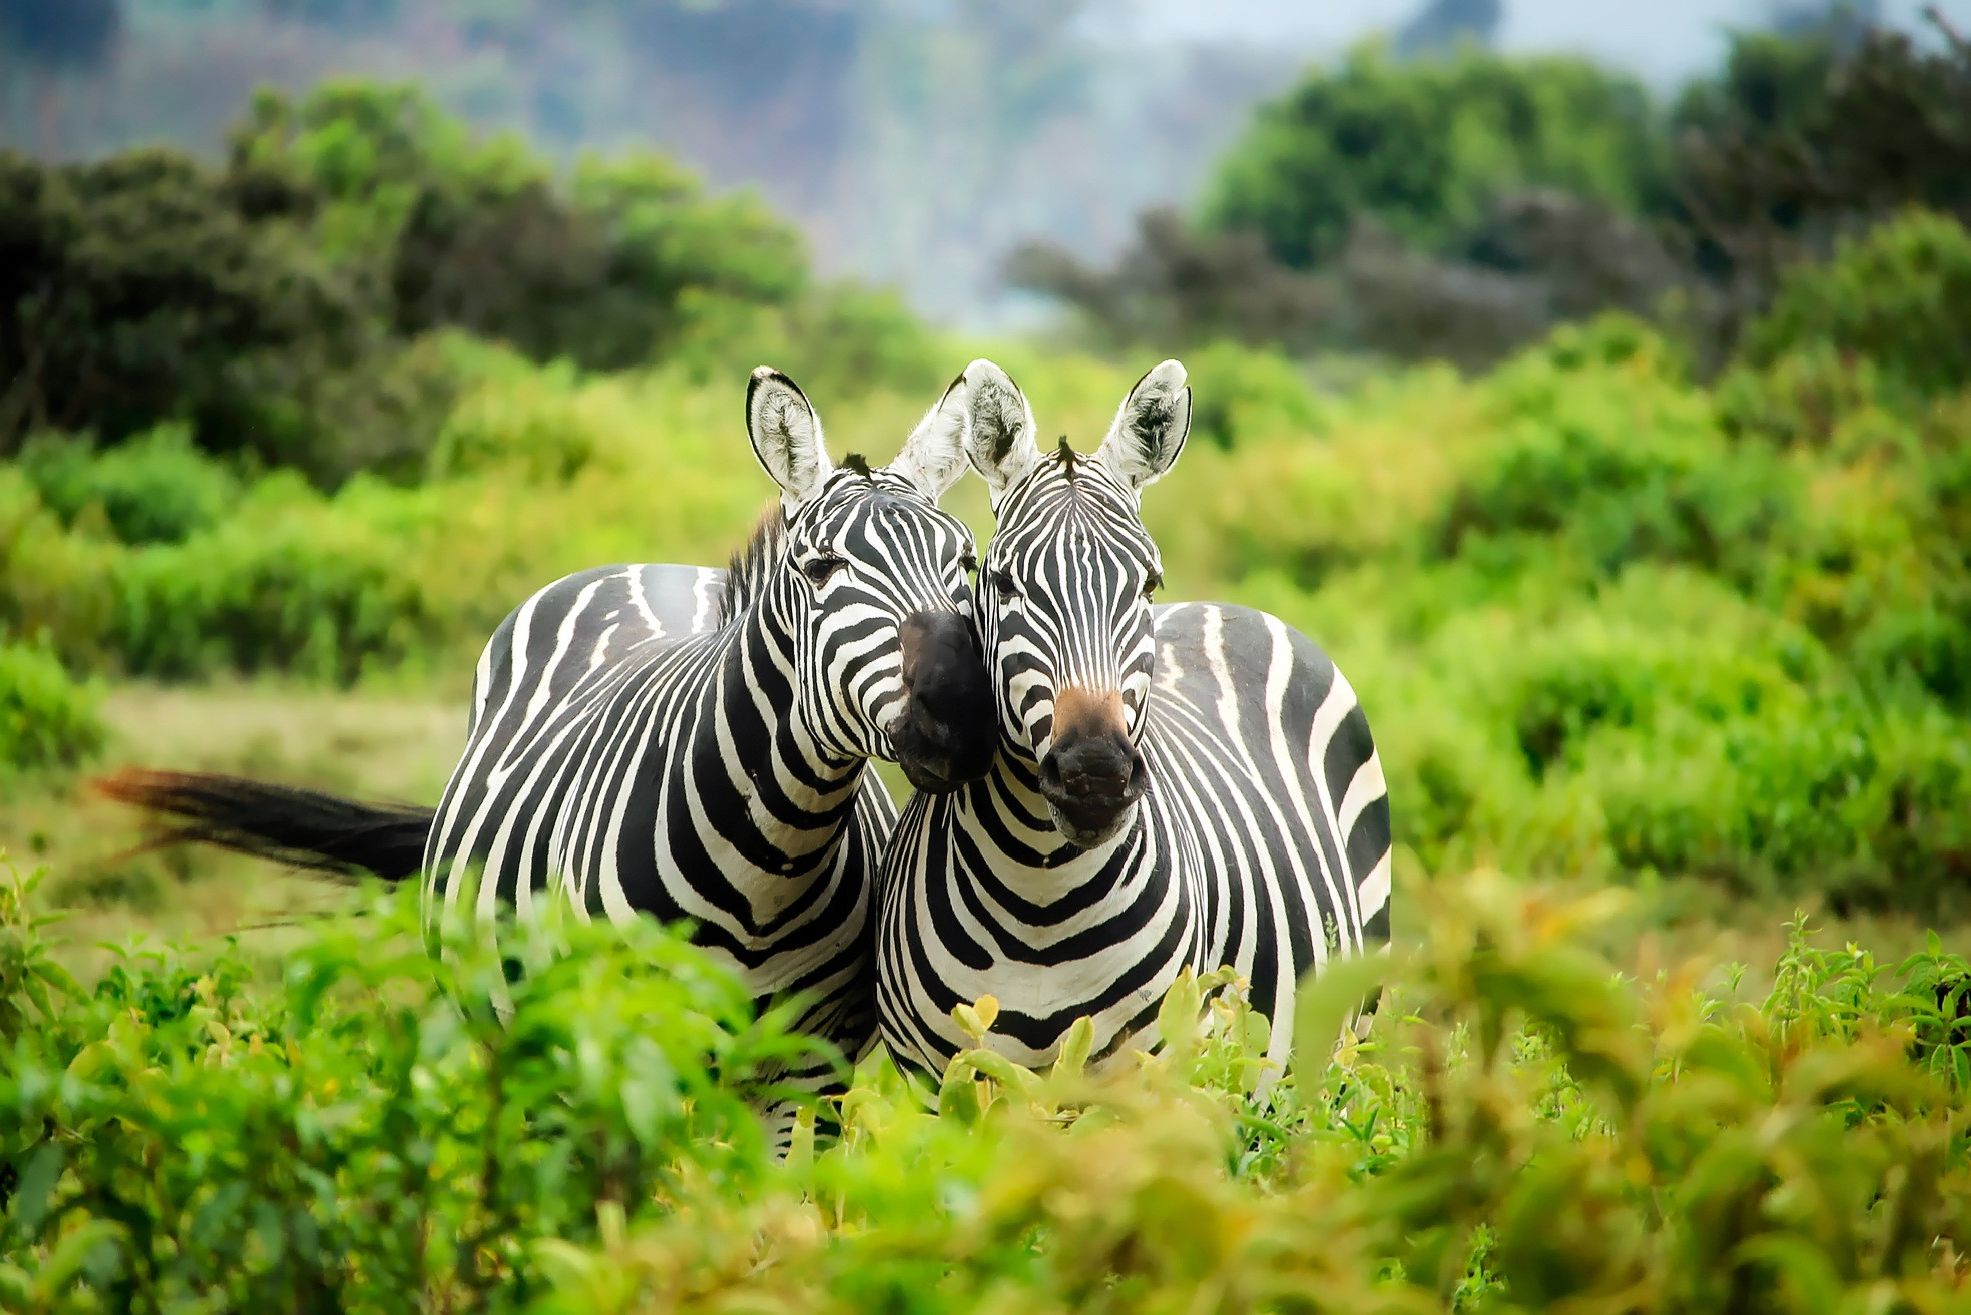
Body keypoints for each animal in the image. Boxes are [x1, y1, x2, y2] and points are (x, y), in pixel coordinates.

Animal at [99, 365, 998, 1132]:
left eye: (964, 561)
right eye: (819, 568)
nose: (960, 711)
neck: (767, 864)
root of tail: (645, 564)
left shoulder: (807, 1073)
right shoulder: (618, 1050)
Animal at [874, 358, 1392, 1083]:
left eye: (1147, 583)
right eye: (1002, 582)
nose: (1094, 775)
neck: (1038, 896)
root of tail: (1228, 606)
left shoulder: (1151, 1074)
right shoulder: (938, 1080)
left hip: (1347, 1035)